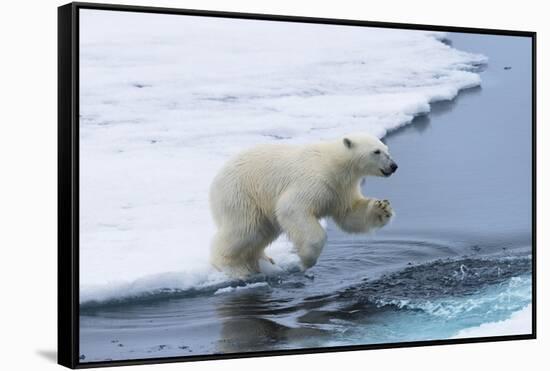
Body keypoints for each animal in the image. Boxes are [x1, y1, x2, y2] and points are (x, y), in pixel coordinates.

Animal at [209, 133, 398, 276]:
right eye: (376, 151)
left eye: (387, 149)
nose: (394, 166)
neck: (333, 164)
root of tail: (215, 181)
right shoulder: (314, 180)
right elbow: (292, 208)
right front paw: (306, 261)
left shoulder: (341, 189)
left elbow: (350, 214)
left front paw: (383, 207)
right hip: (241, 194)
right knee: (245, 229)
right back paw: (233, 267)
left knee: (263, 232)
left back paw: (263, 260)